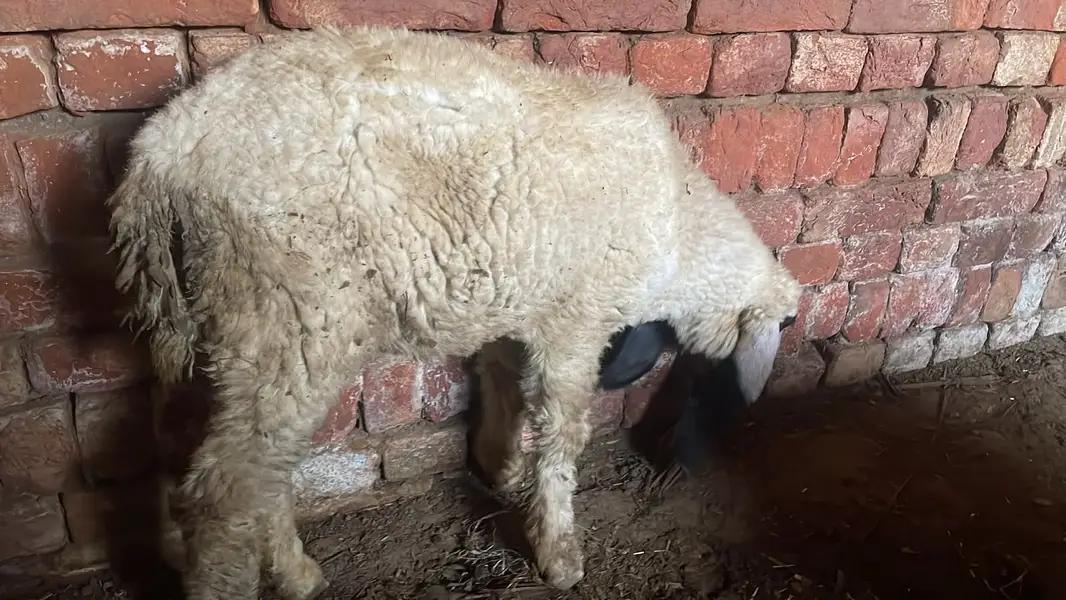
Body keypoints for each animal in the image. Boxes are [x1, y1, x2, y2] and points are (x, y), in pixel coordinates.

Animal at [107, 25, 802, 600]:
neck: (679, 226)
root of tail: (162, 152)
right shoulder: (574, 317)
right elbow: (562, 431)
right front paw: (559, 551)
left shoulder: (512, 304)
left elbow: (503, 385)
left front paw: (501, 466)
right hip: (290, 310)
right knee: (226, 489)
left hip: (230, 324)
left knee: (240, 462)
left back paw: (290, 571)